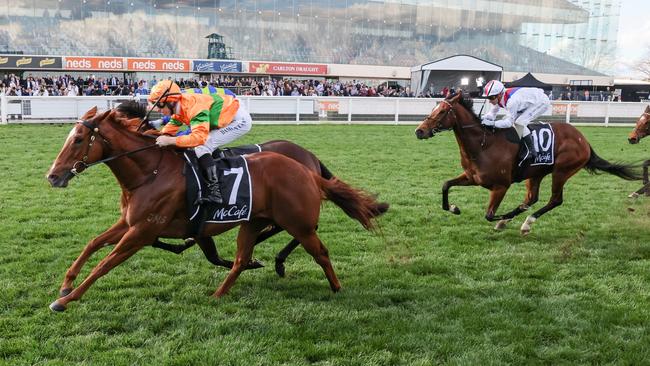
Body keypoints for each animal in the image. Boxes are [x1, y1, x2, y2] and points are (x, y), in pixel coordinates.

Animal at [416, 91, 636, 234]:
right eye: (434, 107)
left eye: (442, 111)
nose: (419, 131)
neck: (483, 145)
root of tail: (583, 140)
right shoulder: (472, 177)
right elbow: (445, 185)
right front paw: (454, 208)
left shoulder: (501, 186)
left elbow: (489, 214)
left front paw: (504, 218)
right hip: (536, 173)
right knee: (532, 198)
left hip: (562, 171)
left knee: (555, 200)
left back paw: (526, 222)